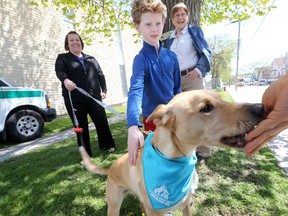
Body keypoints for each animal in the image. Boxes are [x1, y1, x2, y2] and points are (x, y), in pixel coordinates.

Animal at [79, 90, 264, 216]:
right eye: (206, 108)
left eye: (220, 98)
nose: (260, 108)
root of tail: (110, 169)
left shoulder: (186, 204)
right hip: (114, 205)